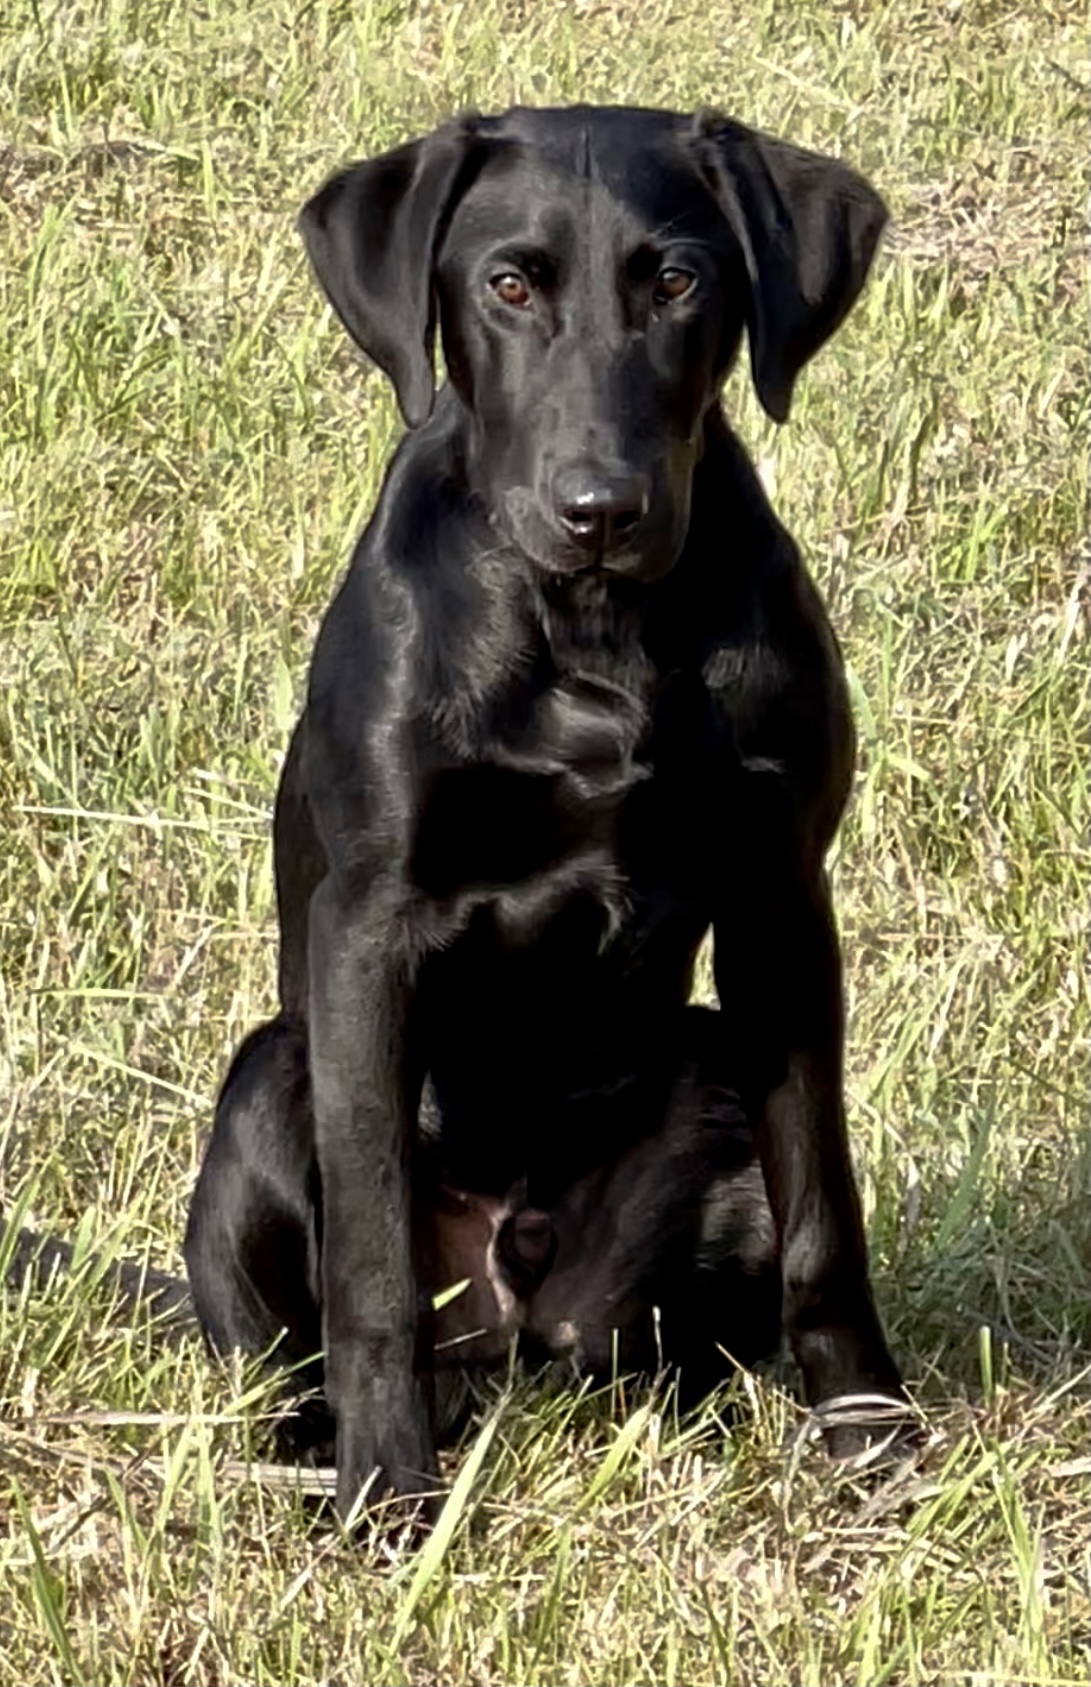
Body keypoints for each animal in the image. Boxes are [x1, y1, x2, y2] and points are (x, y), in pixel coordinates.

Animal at [185, 108, 903, 1531]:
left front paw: (868, 1431)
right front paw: (388, 1496)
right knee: (306, 1340)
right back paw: (322, 1448)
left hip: (706, 1076)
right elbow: (370, 1271)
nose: (600, 510)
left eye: (676, 281)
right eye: (507, 285)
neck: (592, 632)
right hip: (269, 1079)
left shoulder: (782, 902)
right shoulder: (370, 927)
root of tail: (516, 1318)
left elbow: (823, 1210)